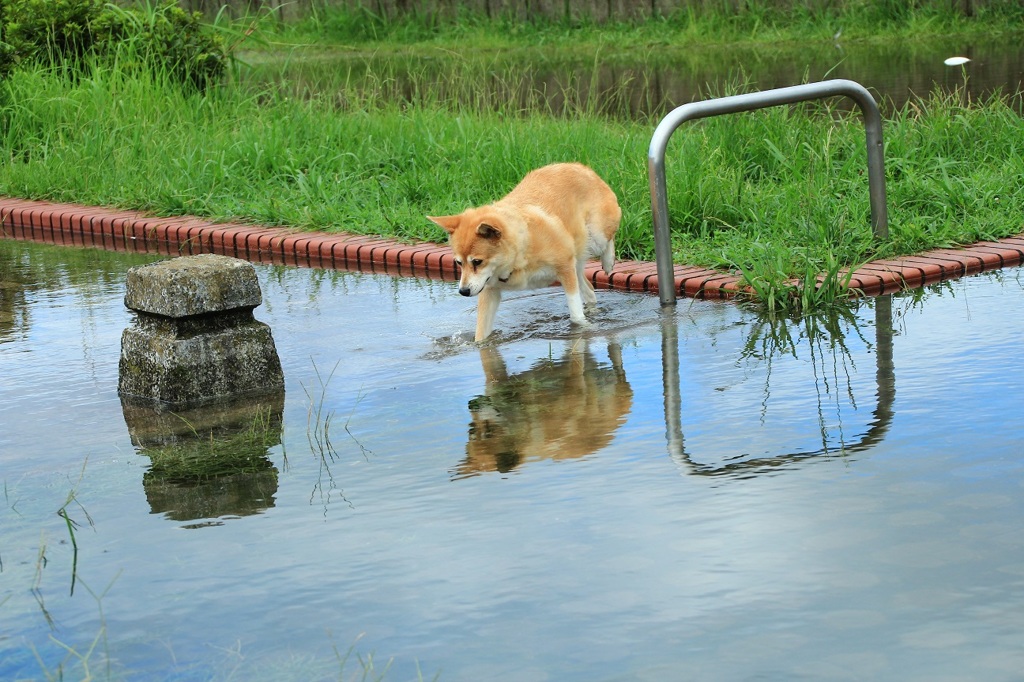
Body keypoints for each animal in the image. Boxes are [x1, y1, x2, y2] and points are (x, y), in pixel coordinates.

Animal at [425, 162, 618, 342]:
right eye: (458, 263)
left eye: (477, 262)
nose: (463, 291)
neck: (520, 254)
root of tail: (578, 166)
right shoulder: (489, 291)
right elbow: (481, 333)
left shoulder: (564, 268)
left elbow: (576, 315)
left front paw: (583, 327)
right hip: (577, 258)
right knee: (589, 290)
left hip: (596, 235)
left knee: (608, 239)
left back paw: (608, 262)